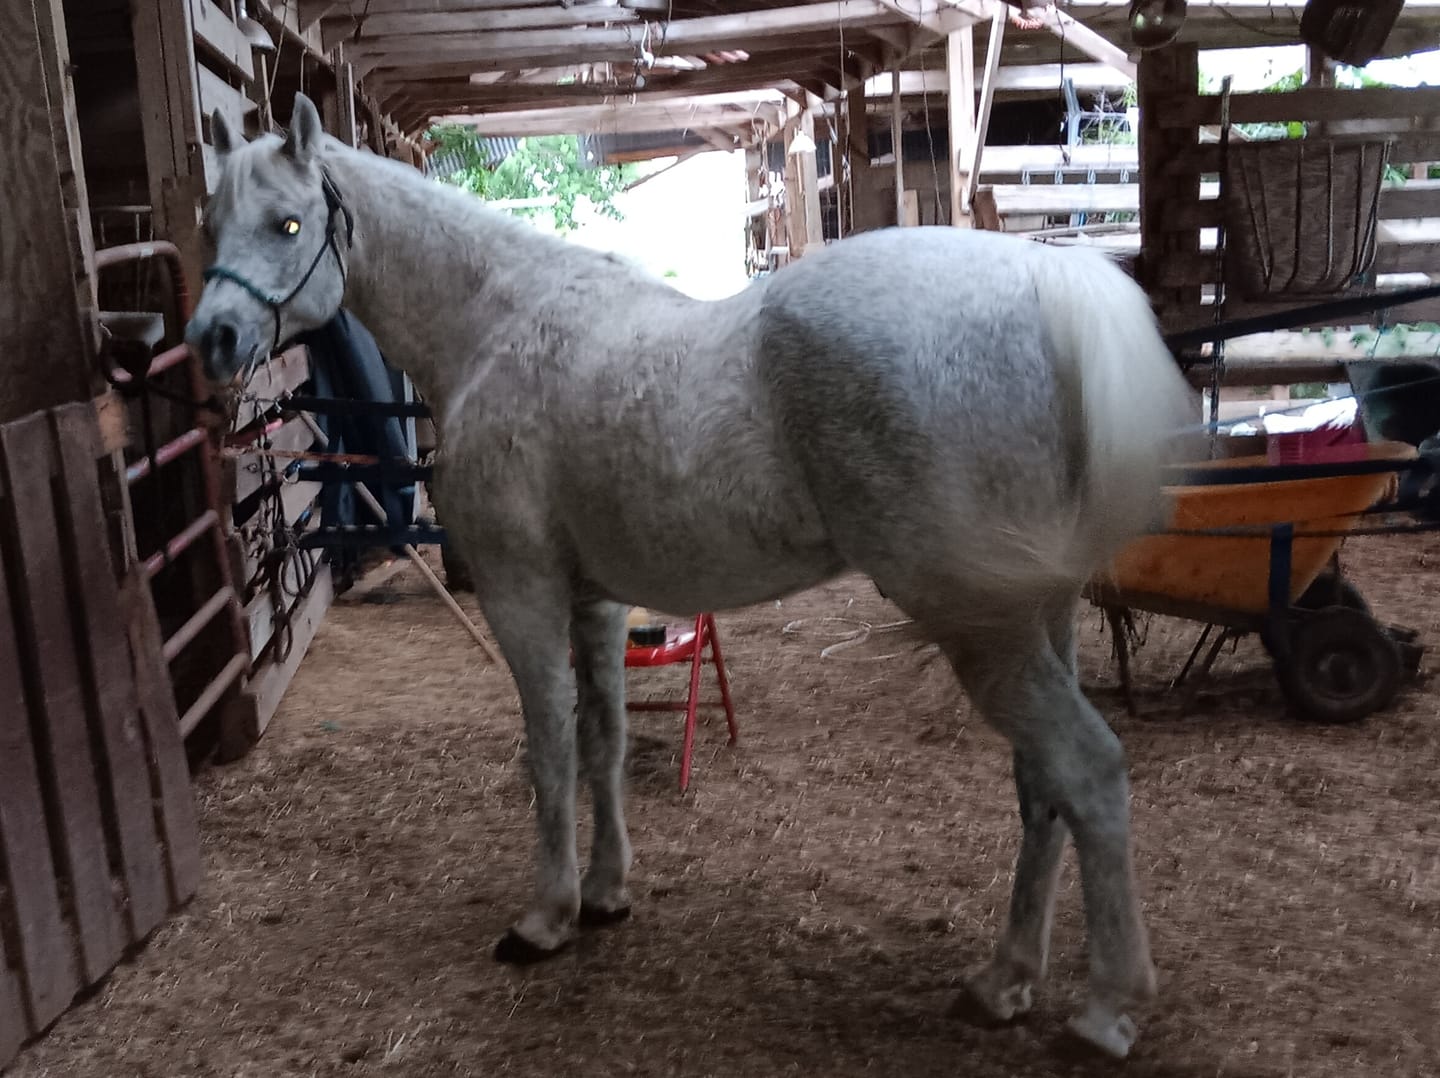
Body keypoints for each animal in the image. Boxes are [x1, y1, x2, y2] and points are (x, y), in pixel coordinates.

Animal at [187, 93, 1197, 1060]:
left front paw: (545, 919)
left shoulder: (522, 592)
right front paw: (606, 894)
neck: (498, 323)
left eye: (285, 223)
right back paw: (1005, 982)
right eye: (210, 223)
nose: (214, 339)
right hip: (1033, 615)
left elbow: (549, 750)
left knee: (1088, 771)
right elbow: (603, 741)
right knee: (1043, 786)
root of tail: (1042, 284)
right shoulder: (596, 600)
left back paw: (1107, 1009)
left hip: (979, 623)